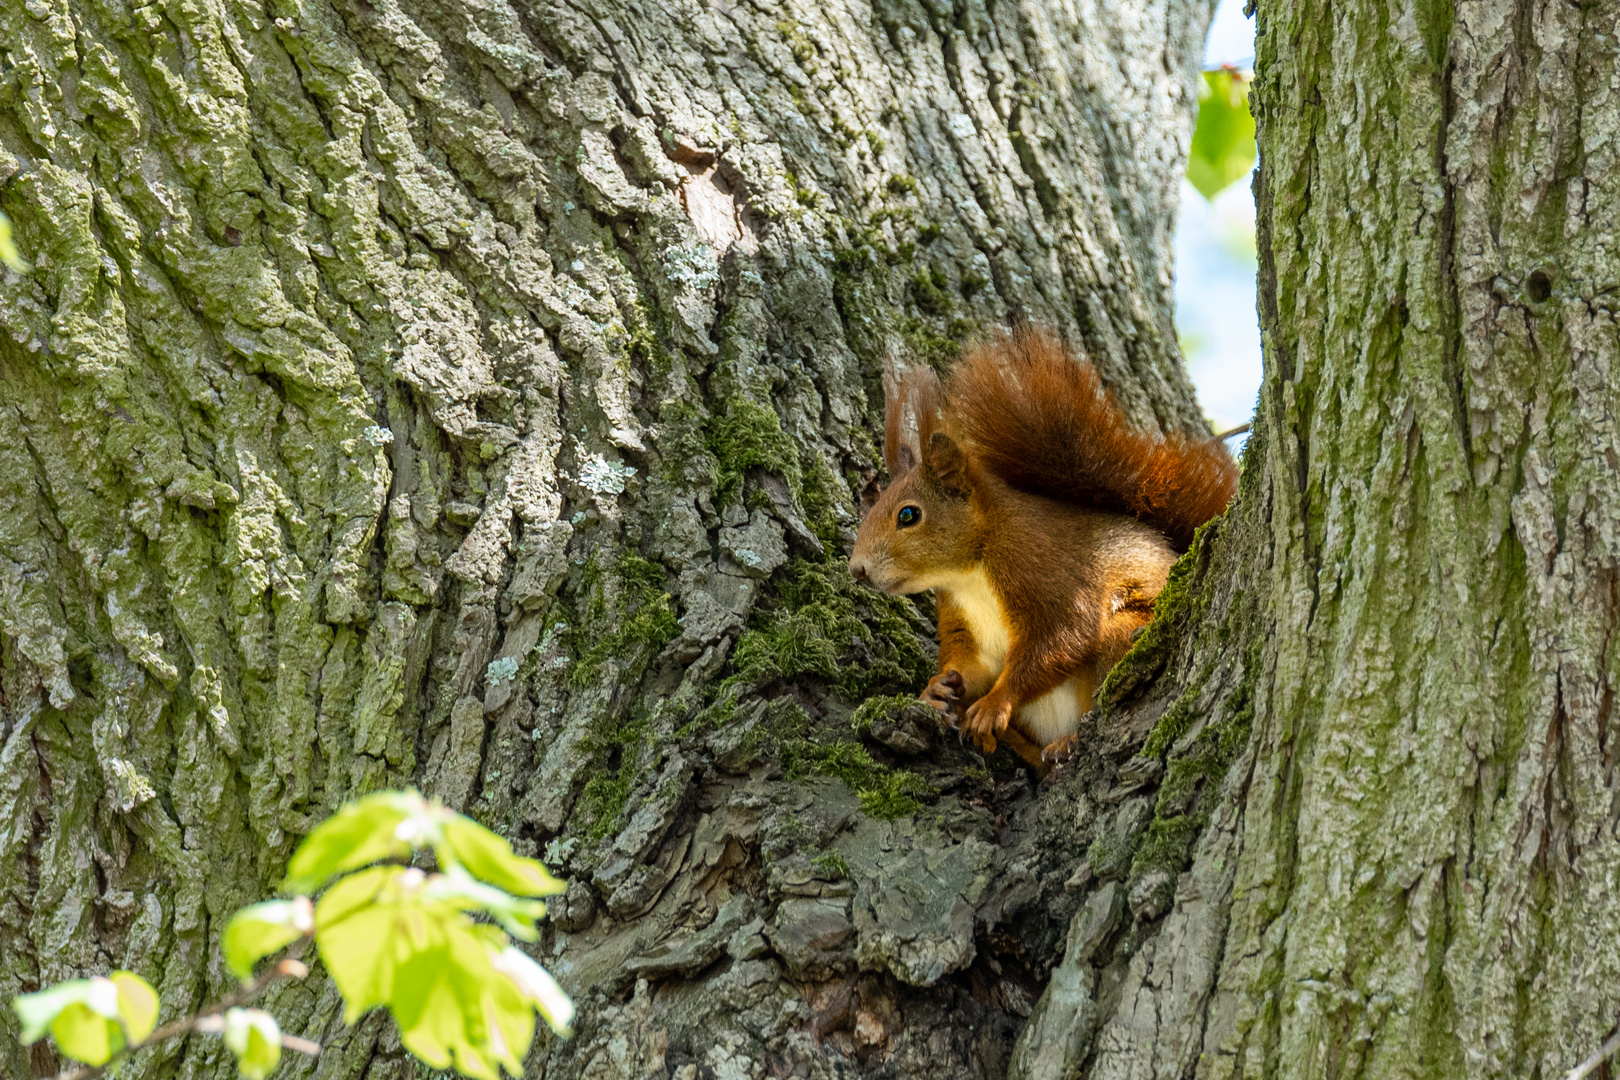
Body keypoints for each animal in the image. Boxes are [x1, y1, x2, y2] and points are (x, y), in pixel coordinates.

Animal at [848, 333, 1237, 773]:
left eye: (908, 515)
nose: (857, 569)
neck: (970, 572)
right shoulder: (961, 617)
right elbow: (971, 665)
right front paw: (936, 689)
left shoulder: (1042, 570)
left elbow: (1061, 639)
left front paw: (994, 704)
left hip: (1125, 631)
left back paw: (1065, 742)